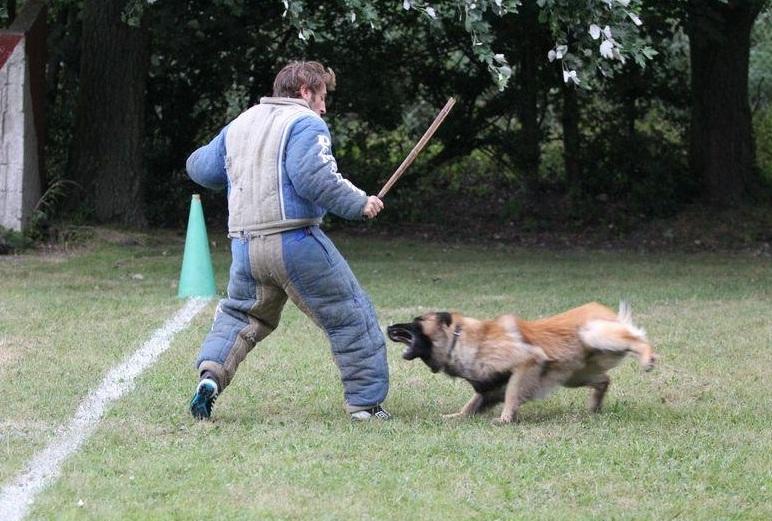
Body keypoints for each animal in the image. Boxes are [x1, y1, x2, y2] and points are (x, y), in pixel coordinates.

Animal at [386, 300, 656, 422]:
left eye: (416, 321)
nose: (388, 327)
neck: (457, 339)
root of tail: (602, 308)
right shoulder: (490, 386)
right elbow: (472, 404)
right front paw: (455, 417)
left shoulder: (526, 362)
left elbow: (512, 395)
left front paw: (505, 419)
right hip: (574, 375)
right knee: (604, 380)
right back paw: (594, 407)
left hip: (594, 334)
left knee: (636, 339)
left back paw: (648, 358)